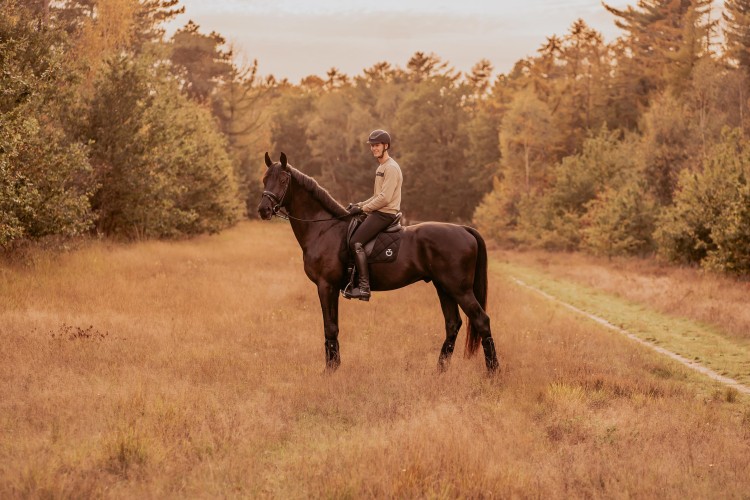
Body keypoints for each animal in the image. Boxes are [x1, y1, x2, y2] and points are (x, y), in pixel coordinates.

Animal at [258, 154, 500, 374]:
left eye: (283, 180)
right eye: (265, 179)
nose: (263, 210)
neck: (324, 229)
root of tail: (464, 229)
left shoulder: (326, 285)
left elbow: (330, 327)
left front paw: (329, 370)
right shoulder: (330, 287)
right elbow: (333, 327)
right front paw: (335, 366)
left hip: (459, 289)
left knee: (482, 320)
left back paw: (493, 372)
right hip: (444, 287)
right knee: (452, 324)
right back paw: (440, 370)